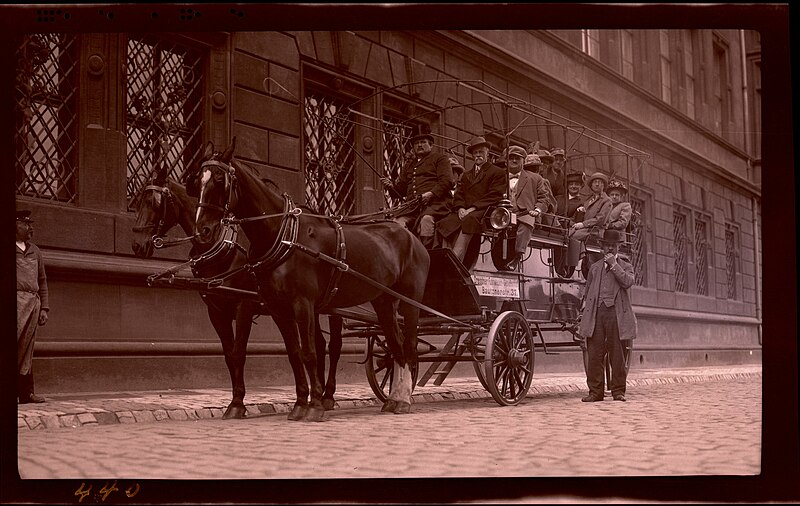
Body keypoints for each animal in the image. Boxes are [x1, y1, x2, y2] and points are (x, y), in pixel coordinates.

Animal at [130, 141, 340, 416]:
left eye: (154, 202)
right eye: (138, 200)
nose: (137, 244)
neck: (224, 249)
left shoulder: (244, 307)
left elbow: (239, 351)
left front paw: (238, 404)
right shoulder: (216, 311)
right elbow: (229, 355)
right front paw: (235, 400)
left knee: (334, 346)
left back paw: (328, 395)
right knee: (320, 343)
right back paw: (321, 394)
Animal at [194, 138, 428, 420]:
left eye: (220, 179)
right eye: (197, 180)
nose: (203, 230)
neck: (284, 236)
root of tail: (411, 236)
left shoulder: (301, 304)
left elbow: (309, 352)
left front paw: (314, 404)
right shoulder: (278, 309)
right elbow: (295, 354)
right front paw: (300, 403)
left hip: (410, 301)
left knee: (409, 345)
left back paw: (403, 399)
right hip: (383, 301)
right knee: (396, 345)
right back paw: (394, 399)